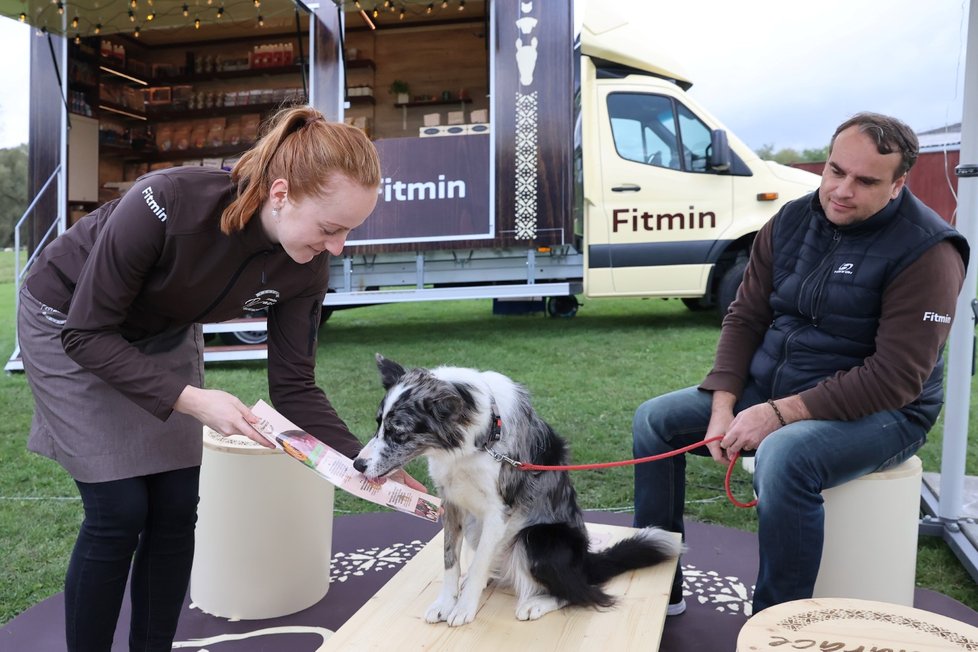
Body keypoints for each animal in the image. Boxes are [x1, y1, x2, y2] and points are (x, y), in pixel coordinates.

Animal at [350, 356, 680, 628]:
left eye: (398, 433)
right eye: (378, 424)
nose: (357, 464)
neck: (480, 438)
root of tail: (585, 562)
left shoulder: (498, 511)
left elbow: (478, 563)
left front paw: (463, 608)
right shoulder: (452, 502)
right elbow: (450, 560)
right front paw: (446, 602)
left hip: (537, 538)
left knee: (583, 592)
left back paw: (536, 604)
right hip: (478, 527)